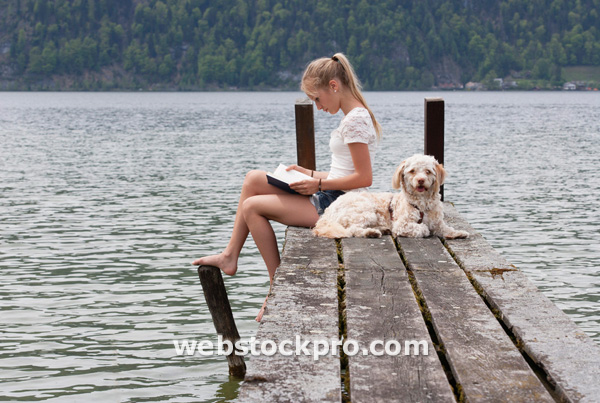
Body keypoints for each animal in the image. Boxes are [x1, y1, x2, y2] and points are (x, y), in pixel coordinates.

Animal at [312, 155, 472, 240]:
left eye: (428, 171)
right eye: (412, 171)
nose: (420, 180)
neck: (422, 204)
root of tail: (327, 211)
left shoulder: (438, 223)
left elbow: (446, 228)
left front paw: (458, 233)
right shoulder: (402, 224)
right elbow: (423, 228)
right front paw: (424, 229)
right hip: (364, 210)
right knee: (353, 229)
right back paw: (371, 232)